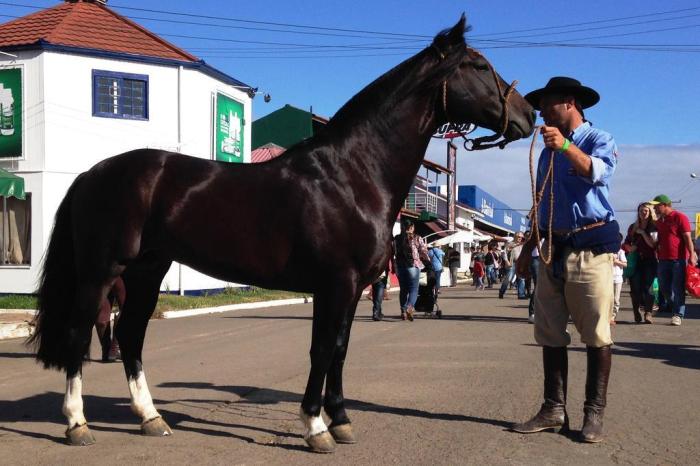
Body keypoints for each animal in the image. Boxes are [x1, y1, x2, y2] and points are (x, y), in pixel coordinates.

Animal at [26, 17, 532, 452]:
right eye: (479, 67)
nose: (527, 115)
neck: (351, 175)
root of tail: (92, 173)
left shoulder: (352, 290)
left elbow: (340, 350)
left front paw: (340, 420)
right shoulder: (336, 284)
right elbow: (322, 350)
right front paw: (315, 427)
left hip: (147, 272)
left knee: (131, 337)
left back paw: (152, 418)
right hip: (101, 271)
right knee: (79, 335)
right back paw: (77, 424)